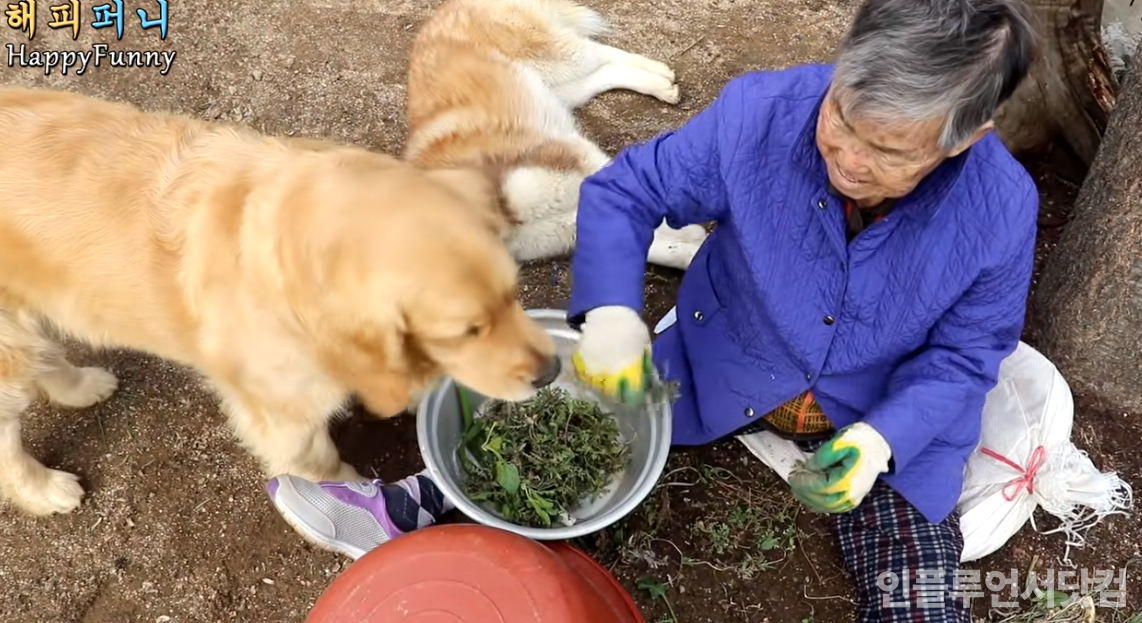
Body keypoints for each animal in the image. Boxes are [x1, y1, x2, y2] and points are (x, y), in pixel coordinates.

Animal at [0, 87, 557, 513]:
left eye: (514, 294)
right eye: (466, 331)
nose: (551, 372)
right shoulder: (285, 414)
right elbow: (321, 463)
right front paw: (351, 492)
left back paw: (81, 385)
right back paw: (45, 489)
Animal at [401, 0, 703, 269]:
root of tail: (443, 9)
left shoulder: (577, 158)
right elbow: (660, 247)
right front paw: (695, 250)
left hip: (558, 59)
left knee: (600, 51)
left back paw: (661, 74)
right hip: (563, 88)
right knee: (604, 73)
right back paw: (660, 84)